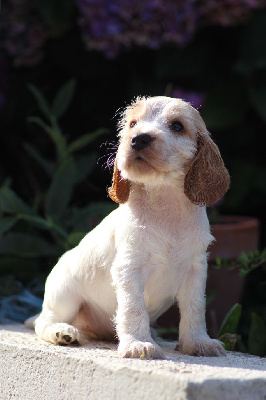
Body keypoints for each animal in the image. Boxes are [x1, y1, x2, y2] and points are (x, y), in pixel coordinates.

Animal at [28, 96, 230, 360]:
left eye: (177, 126)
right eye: (133, 124)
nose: (138, 138)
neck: (164, 204)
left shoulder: (195, 270)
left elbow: (195, 309)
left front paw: (197, 342)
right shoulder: (129, 269)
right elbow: (134, 309)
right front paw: (138, 343)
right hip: (64, 295)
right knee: (44, 321)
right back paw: (62, 332)